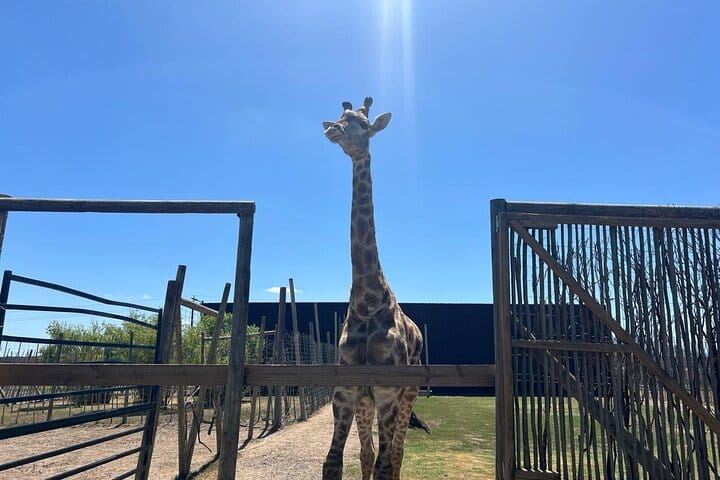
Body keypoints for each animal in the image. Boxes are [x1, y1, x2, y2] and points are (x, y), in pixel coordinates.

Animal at [321, 97, 423, 480]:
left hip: (409, 395)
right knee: (368, 453)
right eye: (339, 116)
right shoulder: (346, 391)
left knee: (395, 454)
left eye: (362, 125)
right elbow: (334, 463)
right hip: (367, 403)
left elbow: (385, 463)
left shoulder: (388, 391)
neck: (366, 297)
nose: (332, 131)